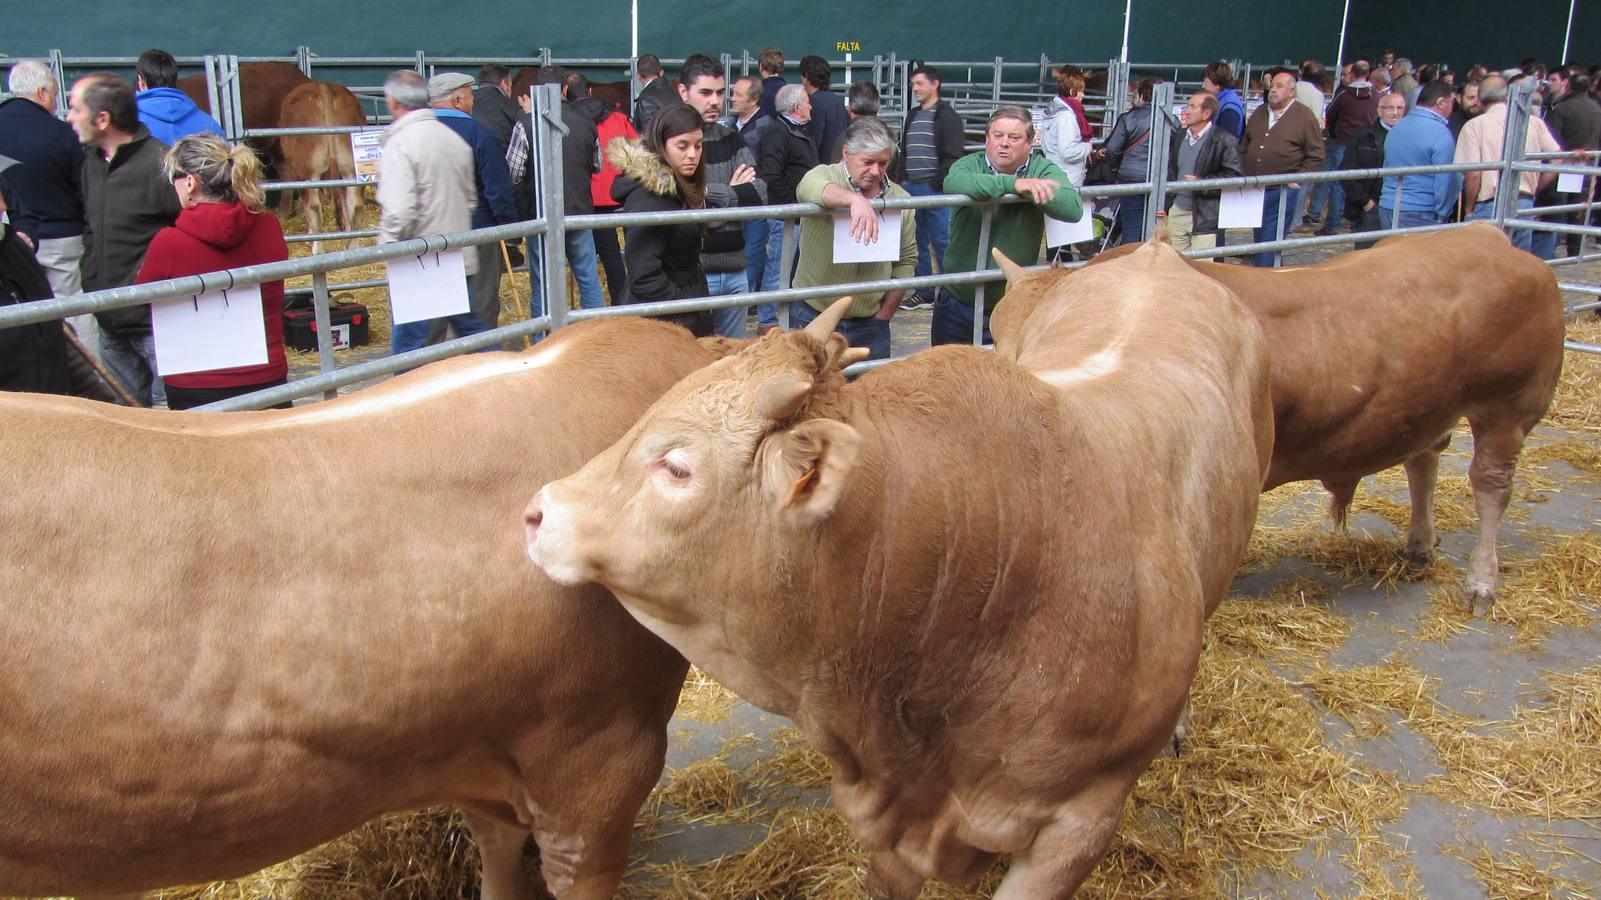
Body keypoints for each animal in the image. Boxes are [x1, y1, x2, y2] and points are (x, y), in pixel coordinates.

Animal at [1088, 220, 1562, 605]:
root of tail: (1487, 235)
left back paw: (1481, 581)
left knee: (1491, 487)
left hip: (1508, 407)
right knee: (1423, 462)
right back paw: (1420, 544)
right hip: (1429, 405)